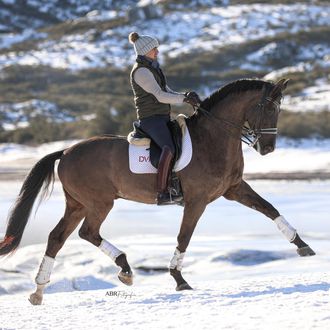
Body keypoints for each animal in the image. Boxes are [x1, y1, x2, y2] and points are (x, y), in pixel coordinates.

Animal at [0, 77, 314, 304]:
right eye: (268, 108)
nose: (268, 148)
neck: (212, 139)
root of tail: (65, 152)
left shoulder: (235, 188)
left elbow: (270, 209)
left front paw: (302, 245)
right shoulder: (197, 200)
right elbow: (184, 237)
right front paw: (179, 279)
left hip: (77, 204)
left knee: (57, 238)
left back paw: (39, 291)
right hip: (99, 202)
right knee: (87, 232)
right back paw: (124, 268)